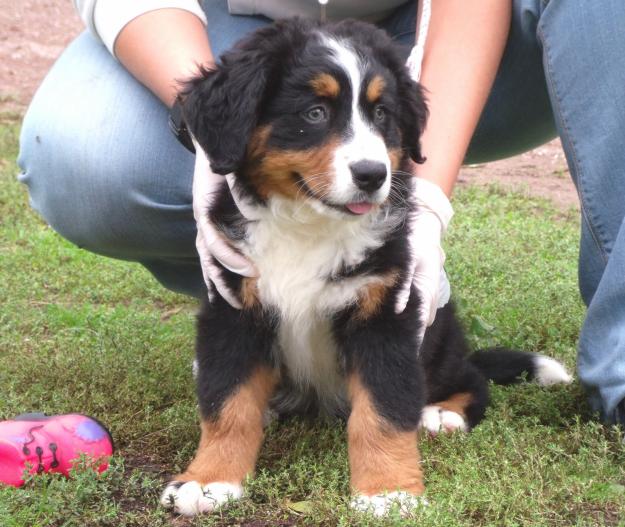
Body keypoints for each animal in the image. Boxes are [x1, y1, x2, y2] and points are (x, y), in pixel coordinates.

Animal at [160, 18, 572, 516]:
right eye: (315, 113)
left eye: (381, 115)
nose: (373, 174)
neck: (309, 227)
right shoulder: (233, 308)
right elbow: (227, 404)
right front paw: (208, 480)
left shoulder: (385, 314)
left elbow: (383, 411)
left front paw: (388, 491)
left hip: (437, 342)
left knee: (471, 378)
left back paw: (443, 412)